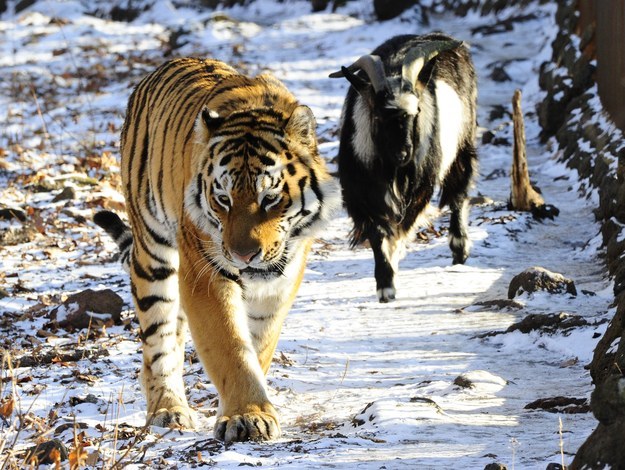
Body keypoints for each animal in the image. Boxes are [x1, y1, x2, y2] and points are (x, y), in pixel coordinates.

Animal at [94, 57, 342, 442]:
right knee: (158, 344)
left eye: (270, 198)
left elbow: (259, 344)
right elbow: (229, 347)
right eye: (223, 199)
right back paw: (168, 409)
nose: (243, 255)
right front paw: (247, 415)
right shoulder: (205, 272)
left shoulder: (283, 278)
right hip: (154, 255)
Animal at [330, 34, 476, 304]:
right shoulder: (364, 194)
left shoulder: (418, 188)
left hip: (463, 143)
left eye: (416, 111)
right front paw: (385, 285)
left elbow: (400, 229)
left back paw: (460, 249)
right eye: (378, 115)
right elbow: (378, 234)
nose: (403, 154)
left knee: (458, 191)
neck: (392, 170)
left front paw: (393, 266)